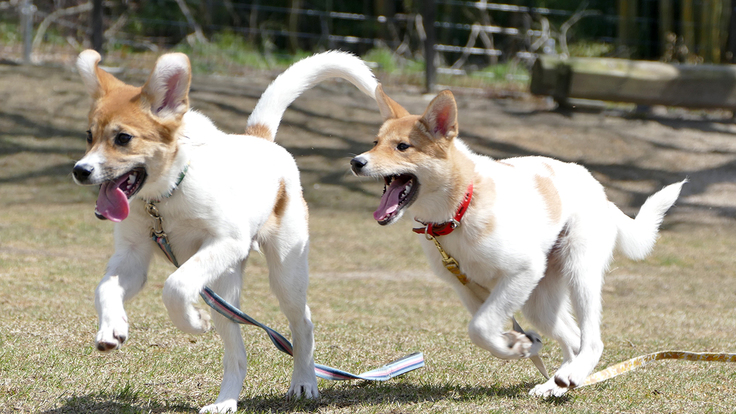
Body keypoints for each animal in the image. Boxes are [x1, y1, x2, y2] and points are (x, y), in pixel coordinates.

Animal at [72, 50, 376, 412]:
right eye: (88, 136)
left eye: (123, 138)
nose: (80, 170)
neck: (165, 197)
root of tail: (259, 138)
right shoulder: (132, 257)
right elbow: (105, 288)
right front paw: (112, 329)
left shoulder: (227, 242)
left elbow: (175, 286)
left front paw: (194, 322)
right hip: (225, 290)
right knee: (237, 354)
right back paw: (226, 401)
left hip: (284, 273)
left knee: (302, 324)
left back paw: (304, 381)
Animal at [350, 85, 684, 398]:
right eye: (375, 143)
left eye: (402, 146)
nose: (356, 162)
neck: (461, 206)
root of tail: (602, 194)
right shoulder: (468, 288)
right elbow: (485, 331)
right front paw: (520, 345)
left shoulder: (522, 271)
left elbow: (480, 328)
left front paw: (517, 346)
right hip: (540, 300)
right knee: (572, 337)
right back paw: (557, 383)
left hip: (579, 272)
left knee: (592, 339)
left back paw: (573, 374)